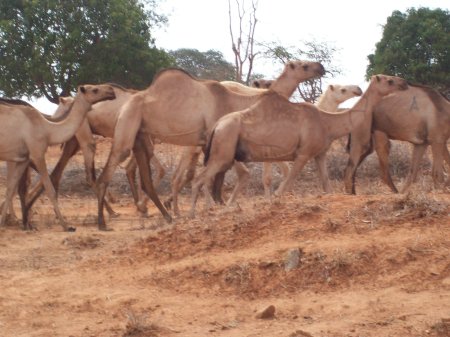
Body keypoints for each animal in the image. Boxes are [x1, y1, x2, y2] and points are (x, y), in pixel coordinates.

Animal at [0, 84, 116, 231]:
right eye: (95, 90)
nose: (111, 90)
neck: (48, 129)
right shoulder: (37, 153)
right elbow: (50, 189)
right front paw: (66, 226)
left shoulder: (23, 158)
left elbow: (10, 189)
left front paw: (3, 223)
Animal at [95, 59, 326, 228]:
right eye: (304, 65)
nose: (321, 67)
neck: (236, 100)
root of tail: (128, 100)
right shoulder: (217, 138)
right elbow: (216, 177)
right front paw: (214, 206)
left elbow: (214, 176)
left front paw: (216, 204)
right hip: (128, 123)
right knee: (109, 171)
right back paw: (104, 221)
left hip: (142, 136)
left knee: (146, 176)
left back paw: (162, 214)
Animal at [188, 74, 410, 217]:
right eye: (389, 80)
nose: (405, 83)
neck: (327, 121)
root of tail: (217, 126)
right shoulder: (303, 154)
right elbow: (283, 188)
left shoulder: (320, 155)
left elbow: (327, 188)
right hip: (223, 151)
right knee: (198, 179)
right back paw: (193, 215)